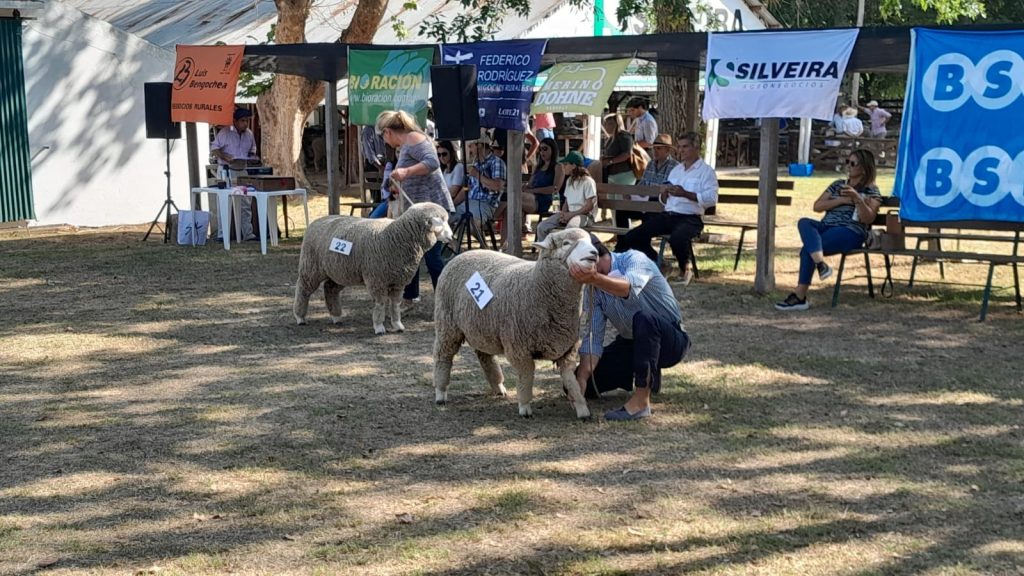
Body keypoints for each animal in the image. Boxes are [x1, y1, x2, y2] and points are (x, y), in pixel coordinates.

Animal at [293, 202, 454, 335]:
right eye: (442, 221)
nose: (452, 237)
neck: (398, 236)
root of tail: (317, 221)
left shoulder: (398, 281)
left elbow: (395, 305)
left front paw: (397, 325)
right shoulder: (377, 280)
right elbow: (381, 304)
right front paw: (379, 327)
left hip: (340, 271)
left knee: (330, 289)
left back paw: (336, 317)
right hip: (311, 267)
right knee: (303, 289)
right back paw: (300, 317)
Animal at [432, 227, 598, 419]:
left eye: (590, 241)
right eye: (566, 243)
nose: (594, 253)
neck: (536, 287)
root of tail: (463, 253)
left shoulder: (568, 349)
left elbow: (571, 380)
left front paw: (581, 407)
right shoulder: (519, 349)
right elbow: (526, 377)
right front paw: (525, 407)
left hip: (482, 328)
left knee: (485, 356)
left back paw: (499, 387)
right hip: (447, 325)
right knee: (444, 356)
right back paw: (440, 393)